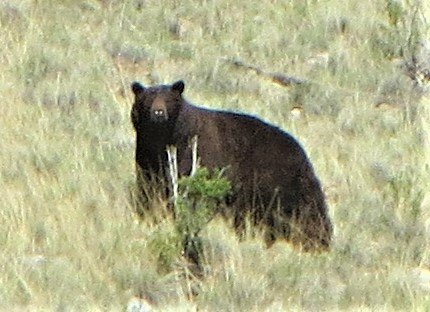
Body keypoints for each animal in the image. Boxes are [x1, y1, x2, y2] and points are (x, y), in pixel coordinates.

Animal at [131, 80, 332, 251]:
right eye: (147, 99)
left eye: (169, 99)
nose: (158, 113)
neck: (166, 138)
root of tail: (301, 153)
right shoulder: (147, 159)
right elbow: (150, 190)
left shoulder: (195, 156)